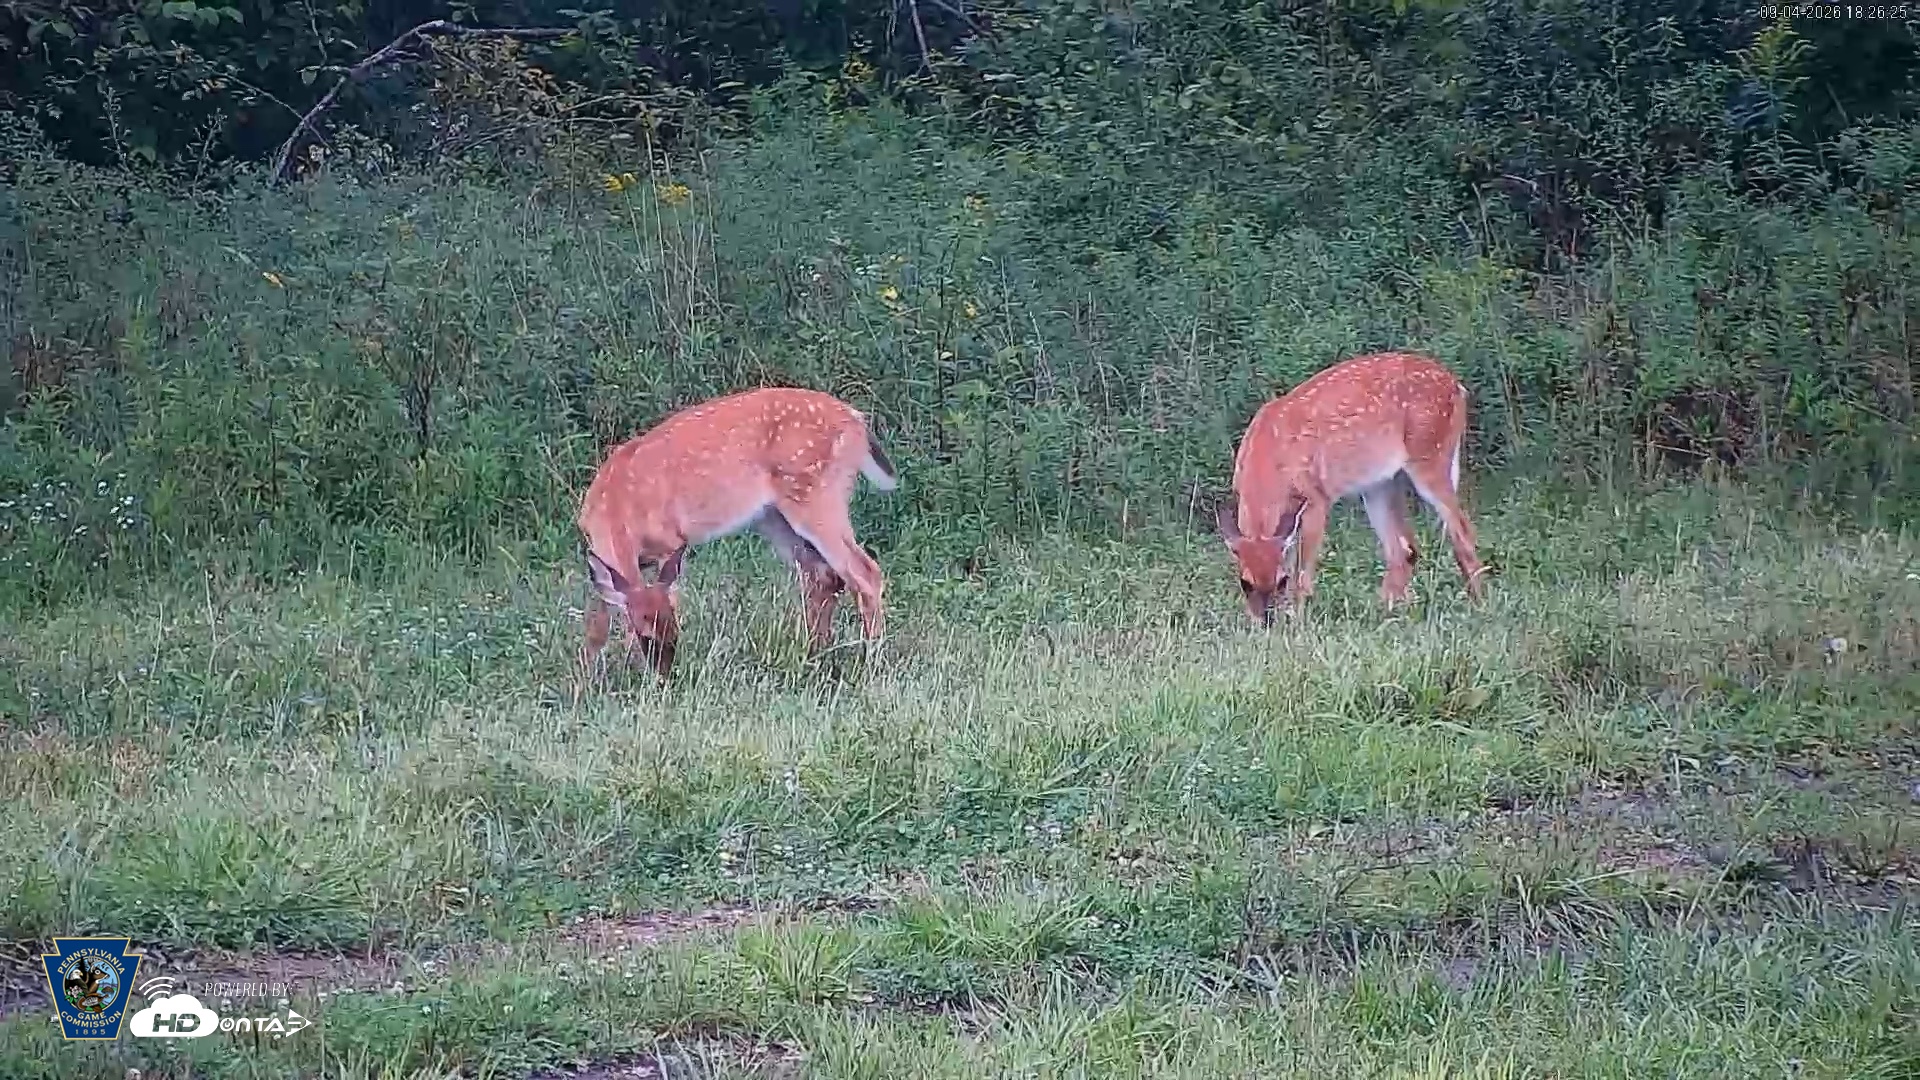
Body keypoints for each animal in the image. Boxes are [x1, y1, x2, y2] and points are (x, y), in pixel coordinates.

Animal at [576, 387, 898, 677]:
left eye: (675, 632)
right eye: (646, 636)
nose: (665, 676)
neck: (617, 507)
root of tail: (856, 420)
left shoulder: (671, 542)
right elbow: (598, 623)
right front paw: (585, 681)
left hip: (817, 496)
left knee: (864, 572)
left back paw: (872, 662)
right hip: (774, 517)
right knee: (824, 575)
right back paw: (815, 655)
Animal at [1216, 351, 1487, 625]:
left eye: (1281, 581)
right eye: (1244, 583)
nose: (1267, 621)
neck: (1269, 462)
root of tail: (1456, 385)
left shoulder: (1316, 499)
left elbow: (1302, 576)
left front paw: (1298, 621)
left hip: (1430, 458)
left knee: (1463, 532)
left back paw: (1480, 605)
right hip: (1380, 484)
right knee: (1404, 549)